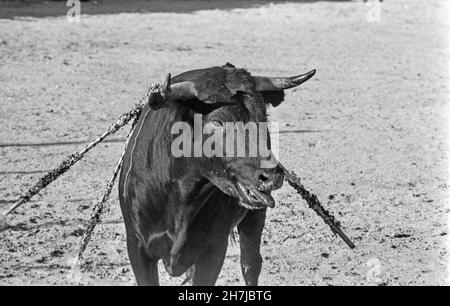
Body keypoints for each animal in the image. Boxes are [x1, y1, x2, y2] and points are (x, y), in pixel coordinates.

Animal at [119, 63, 316, 286]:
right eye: (217, 123)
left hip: (255, 215)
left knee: (250, 263)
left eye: (263, 118)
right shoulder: (137, 245)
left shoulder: (213, 250)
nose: (272, 176)